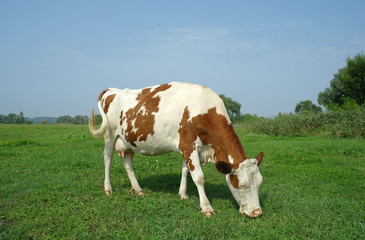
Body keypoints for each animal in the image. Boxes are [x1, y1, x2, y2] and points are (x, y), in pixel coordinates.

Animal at [88, 81, 264, 218]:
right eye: (242, 185)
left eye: (260, 182)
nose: (257, 212)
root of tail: (113, 90)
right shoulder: (189, 146)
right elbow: (199, 177)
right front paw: (206, 207)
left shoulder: (188, 149)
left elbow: (185, 171)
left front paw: (183, 194)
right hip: (110, 135)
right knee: (107, 158)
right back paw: (108, 188)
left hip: (129, 140)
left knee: (127, 162)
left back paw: (138, 189)